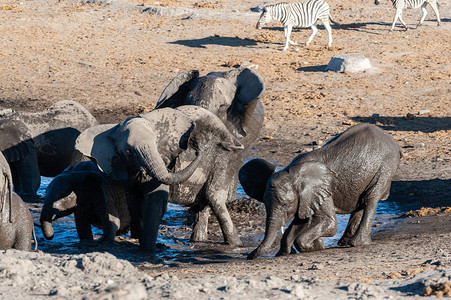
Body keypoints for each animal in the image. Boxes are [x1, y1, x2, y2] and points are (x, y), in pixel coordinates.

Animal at [75, 105, 244, 251]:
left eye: (156, 142)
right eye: (129, 151)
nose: (197, 146)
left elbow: (155, 202)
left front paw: (147, 251)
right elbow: (133, 202)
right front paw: (138, 240)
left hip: (227, 157)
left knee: (214, 197)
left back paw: (235, 244)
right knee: (203, 203)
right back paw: (198, 241)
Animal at [154, 66, 264, 246]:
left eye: (222, 107)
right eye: (188, 100)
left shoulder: (236, 134)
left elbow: (214, 189)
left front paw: (236, 245)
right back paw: (198, 239)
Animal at [240, 123, 402, 258]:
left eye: (286, 204)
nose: (249, 256)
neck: (293, 172)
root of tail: (391, 139)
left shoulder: (323, 191)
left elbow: (329, 223)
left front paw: (318, 246)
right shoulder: (305, 198)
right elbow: (300, 222)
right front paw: (284, 253)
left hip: (386, 165)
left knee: (371, 197)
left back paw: (356, 243)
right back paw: (344, 242)